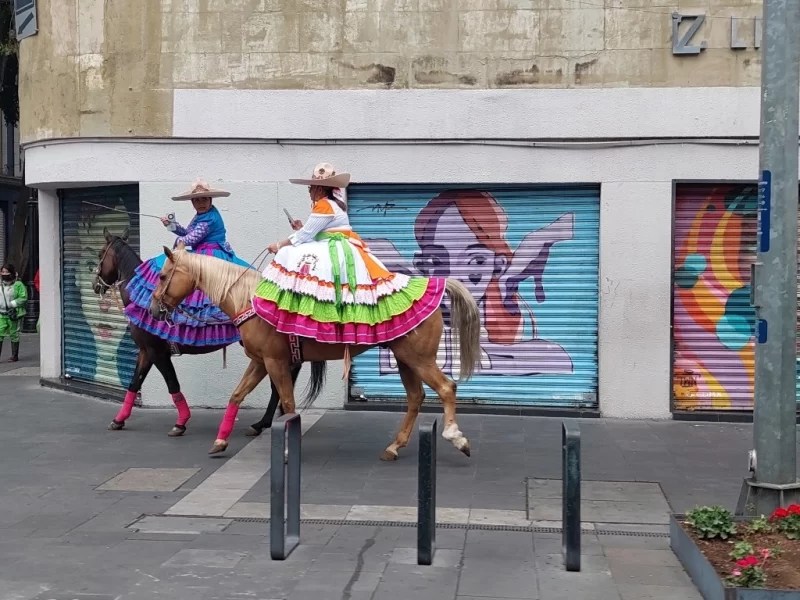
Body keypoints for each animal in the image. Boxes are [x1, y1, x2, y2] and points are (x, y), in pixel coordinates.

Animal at [90, 227, 296, 438]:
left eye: (100, 254)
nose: (95, 284)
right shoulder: (146, 352)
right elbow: (134, 383)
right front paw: (119, 420)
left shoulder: (157, 353)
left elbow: (172, 383)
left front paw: (180, 423)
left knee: (277, 388)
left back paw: (263, 423)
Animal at [148, 243, 482, 460]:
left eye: (163, 276)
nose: (153, 309)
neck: (249, 300)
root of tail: (435, 285)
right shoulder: (260, 362)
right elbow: (237, 395)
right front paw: (220, 441)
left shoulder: (275, 362)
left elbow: (288, 403)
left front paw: (285, 447)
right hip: (405, 359)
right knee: (416, 397)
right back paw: (393, 447)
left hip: (418, 358)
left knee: (446, 388)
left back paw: (457, 438)